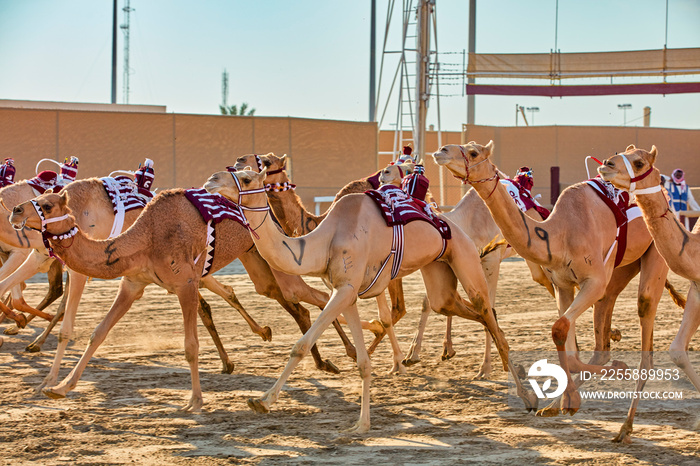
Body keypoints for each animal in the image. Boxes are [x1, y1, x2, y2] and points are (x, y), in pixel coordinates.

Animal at [9, 182, 348, 412]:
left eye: (48, 204)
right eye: (35, 198)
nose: (15, 209)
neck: (145, 237)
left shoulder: (185, 283)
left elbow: (190, 346)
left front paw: (195, 401)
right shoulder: (132, 284)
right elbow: (98, 333)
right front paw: (60, 387)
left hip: (277, 262)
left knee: (317, 296)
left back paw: (348, 354)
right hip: (259, 263)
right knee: (298, 301)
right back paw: (324, 358)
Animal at [205, 167, 540, 434]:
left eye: (247, 177)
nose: (210, 180)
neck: (322, 240)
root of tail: (453, 224)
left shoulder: (344, 290)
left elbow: (301, 345)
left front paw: (262, 401)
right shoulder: (348, 293)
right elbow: (364, 362)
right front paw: (362, 424)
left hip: (467, 257)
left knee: (488, 312)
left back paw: (526, 396)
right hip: (439, 275)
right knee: (461, 309)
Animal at [432, 140, 680, 442]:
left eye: (474, 152)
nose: (441, 151)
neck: (558, 233)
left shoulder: (592, 280)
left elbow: (560, 329)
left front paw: (610, 376)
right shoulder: (563, 284)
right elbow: (568, 348)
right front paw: (563, 403)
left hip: (656, 252)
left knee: (644, 321)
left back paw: (625, 426)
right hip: (622, 267)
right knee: (603, 331)